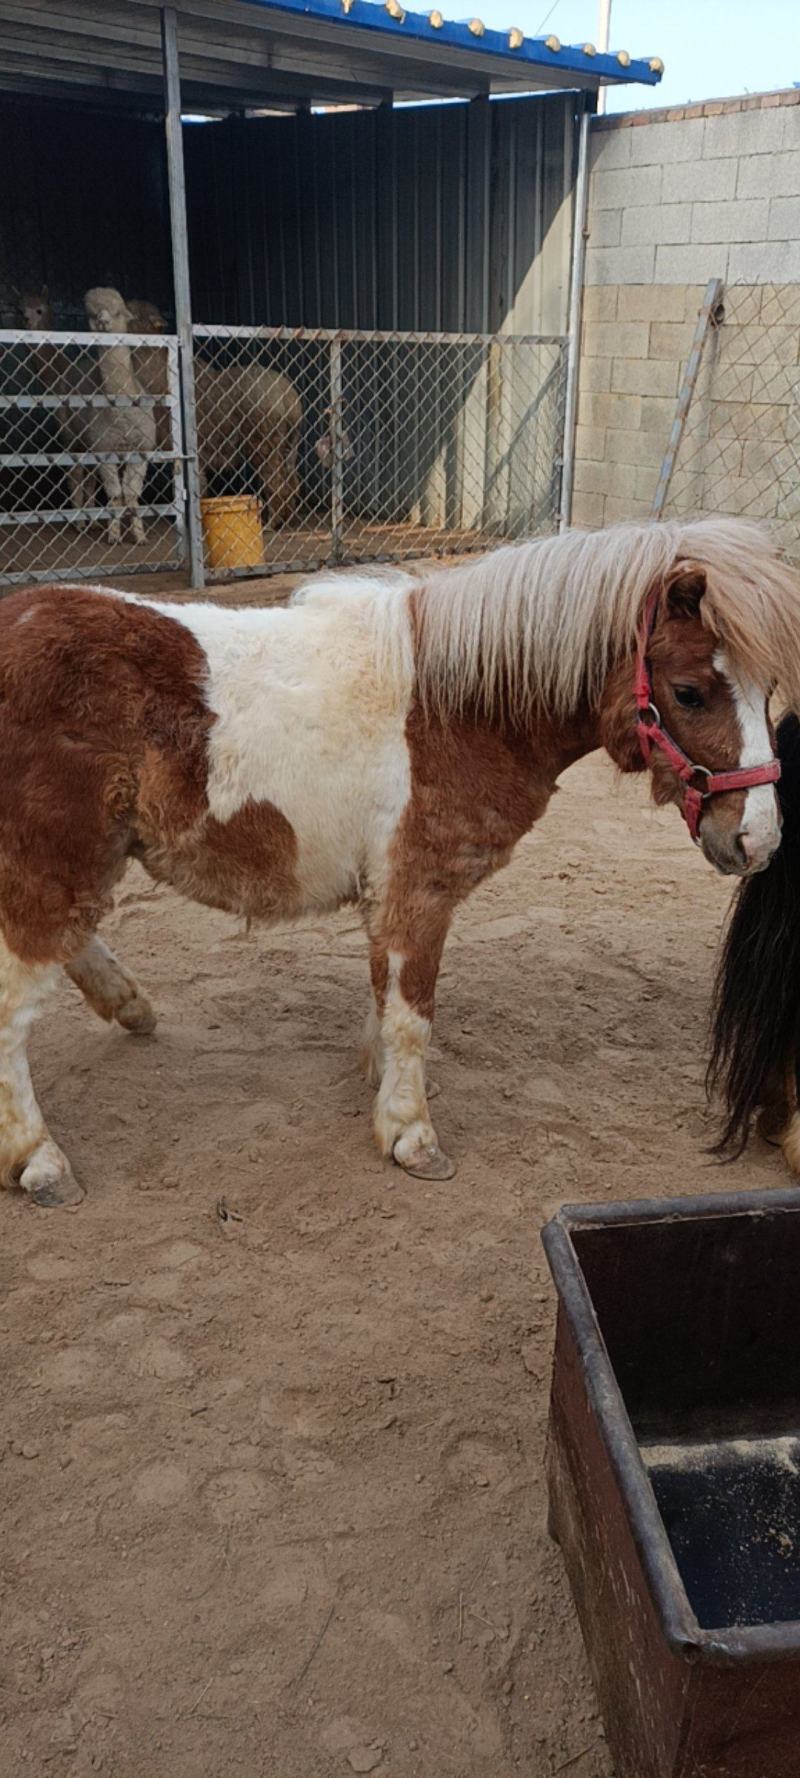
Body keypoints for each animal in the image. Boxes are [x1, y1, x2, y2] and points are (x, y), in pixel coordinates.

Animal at [1, 516, 797, 1210]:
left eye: (768, 692)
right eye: (689, 692)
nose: (757, 841)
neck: (456, 708)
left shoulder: (388, 893)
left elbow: (386, 1002)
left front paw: (385, 1091)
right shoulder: (421, 890)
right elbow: (414, 1014)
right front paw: (412, 1136)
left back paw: (129, 1005)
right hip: (54, 860)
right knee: (15, 1005)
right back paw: (41, 1160)